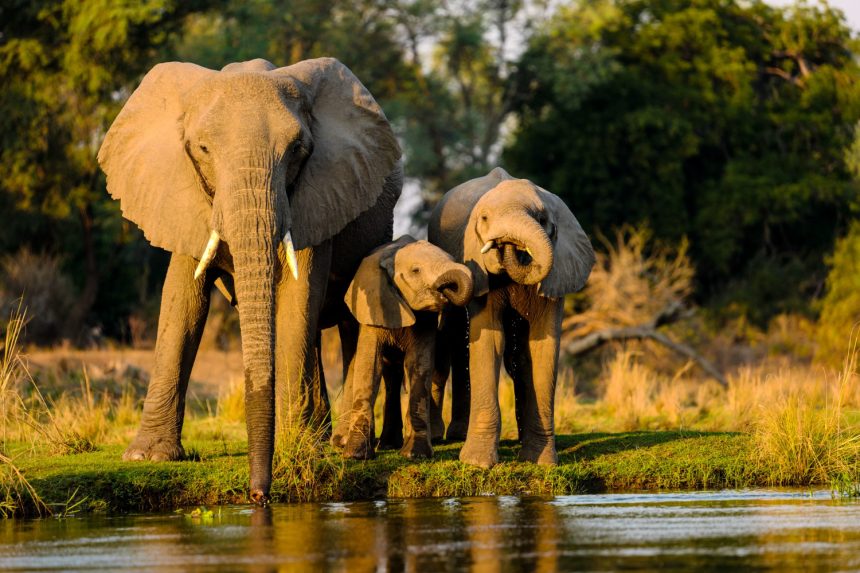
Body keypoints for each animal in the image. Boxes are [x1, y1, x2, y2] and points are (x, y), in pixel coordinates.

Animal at [97, 57, 402, 503]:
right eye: (203, 149)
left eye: (298, 150)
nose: (259, 496)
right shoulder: (182, 195)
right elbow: (182, 303)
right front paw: (146, 458)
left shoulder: (316, 194)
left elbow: (297, 296)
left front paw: (297, 448)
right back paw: (321, 436)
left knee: (349, 323)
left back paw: (349, 445)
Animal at [338, 236, 473, 460]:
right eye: (416, 271)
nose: (447, 290)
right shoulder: (374, 305)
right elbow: (369, 365)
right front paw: (356, 455)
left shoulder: (425, 319)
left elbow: (419, 365)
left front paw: (415, 455)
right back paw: (376, 444)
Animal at [427, 167, 595, 468]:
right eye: (484, 219)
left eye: (542, 219)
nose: (507, 243)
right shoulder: (478, 268)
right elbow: (489, 339)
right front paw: (477, 463)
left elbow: (542, 348)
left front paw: (542, 462)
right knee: (452, 338)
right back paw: (444, 436)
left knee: (515, 358)